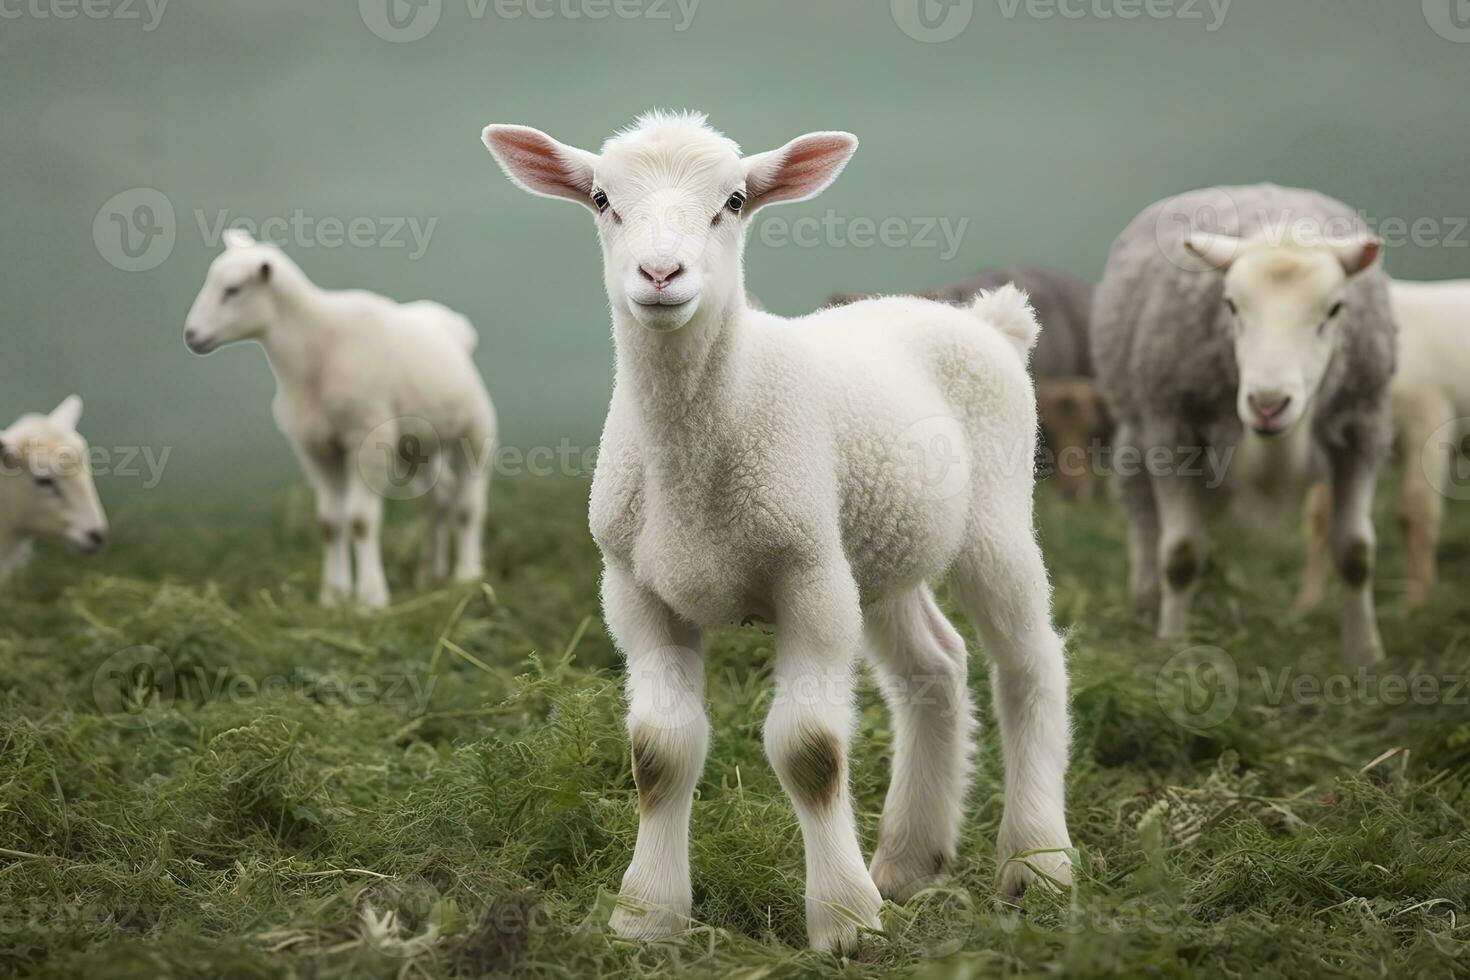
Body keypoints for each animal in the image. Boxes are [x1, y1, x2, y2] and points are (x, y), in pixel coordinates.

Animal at [181, 233, 493, 608]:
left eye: (233, 289)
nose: (191, 335)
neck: (314, 352)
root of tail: (454, 324)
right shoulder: (314, 447)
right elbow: (330, 523)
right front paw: (333, 598)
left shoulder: (368, 439)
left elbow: (360, 521)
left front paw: (371, 600)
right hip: (417, 445)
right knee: (438, 500)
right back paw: (429, 575)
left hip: (476, 432)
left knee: (467, 506)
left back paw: (467, 575)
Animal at [482, 110, 1070, 952]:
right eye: (601, 199)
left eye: (733, 201)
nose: (659, 275)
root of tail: (984, 319)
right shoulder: (632, 589)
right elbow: (658, 752)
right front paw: (647, 915)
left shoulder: (809, 579)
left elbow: (809, 751)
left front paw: (846, 921)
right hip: (878, 547)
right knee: (934, 666)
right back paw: (909, 861)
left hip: (994, 515)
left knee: (1029, 663)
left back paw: (1038, 861)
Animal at [1099, 185, 1393, 667]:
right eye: (1230, 305)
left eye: (1335, 309)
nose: (1268, 404)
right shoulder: (1170, 428)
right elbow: (1181, 552)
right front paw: (1174, 644)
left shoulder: (1365, 429)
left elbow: (1357, 553)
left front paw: (1365, 653)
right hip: (1137, 422)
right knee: (1137, 499)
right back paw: (1144, 597)